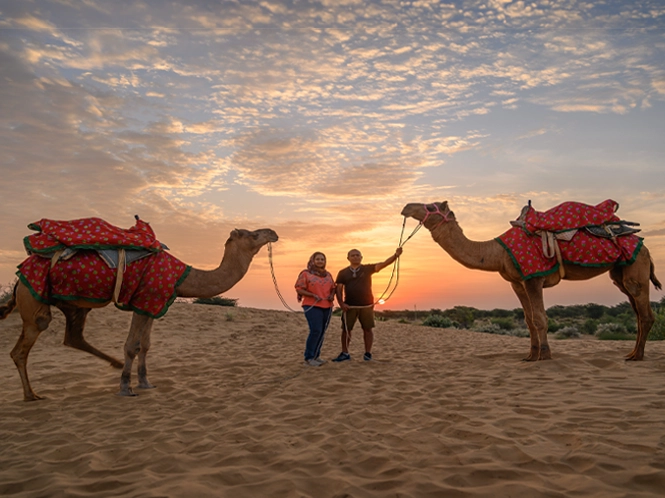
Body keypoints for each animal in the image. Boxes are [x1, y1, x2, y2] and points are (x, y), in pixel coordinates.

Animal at [0, 227, 278, 400]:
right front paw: (126, 387)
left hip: (75, 304)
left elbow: (145, 345)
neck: (183, 277)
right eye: (254, 234)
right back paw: (31, 395)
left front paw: (145, 382)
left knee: (73, 336)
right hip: (34, 298)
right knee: (26, 343)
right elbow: (131, 345)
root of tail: (18, 280)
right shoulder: (142, 301)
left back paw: (111, 364)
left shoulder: (152, 305)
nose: (273, 232)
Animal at [401, 201, 661, 361]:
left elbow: (540, 318)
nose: (405, 207)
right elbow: (528, 320)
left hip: (636, 269)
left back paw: (637, 356)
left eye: (430, 206)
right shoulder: (517, 281)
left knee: (645, 312)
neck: (497, 252)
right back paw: (631, 353)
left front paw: (544, 356)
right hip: (620, 273)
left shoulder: (534, 277)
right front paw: (530, 355)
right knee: (637, 311)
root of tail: (645, 246)